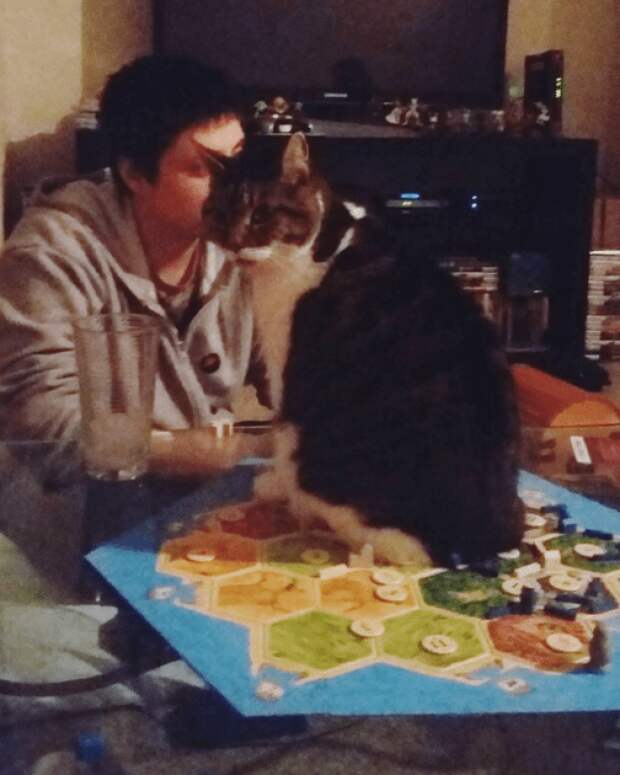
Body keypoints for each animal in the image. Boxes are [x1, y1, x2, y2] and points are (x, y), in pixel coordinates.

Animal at [207, 132, 524, 567]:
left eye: (260, 216)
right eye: (221, 215)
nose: (235, 243)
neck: (322, 245)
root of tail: (475, 539)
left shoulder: (287, 379)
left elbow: (282, 447)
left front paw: (273, 485)